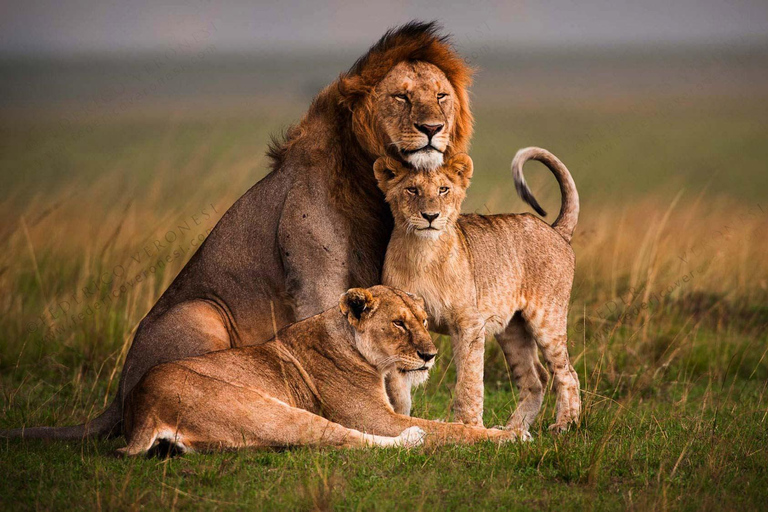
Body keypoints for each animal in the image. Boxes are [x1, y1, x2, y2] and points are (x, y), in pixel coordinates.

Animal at [3, 22, 474, 440]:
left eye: (440, 96)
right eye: (401, 97)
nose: (432, 129)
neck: (370, 181)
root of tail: (118, 397)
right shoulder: (316, 281)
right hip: (200, 312)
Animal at [120, 286, 512, 454]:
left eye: (424, 321)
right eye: (399, 323)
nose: (430, 355)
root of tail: (142, 407)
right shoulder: (374, 418)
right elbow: (450, 429)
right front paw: (507, 435)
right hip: (265, 409)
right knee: (342, 438)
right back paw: (413, 438)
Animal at [376, 148, 580, 436]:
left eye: (443, 189)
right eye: (412, 190)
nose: (430, 216)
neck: (422, 253)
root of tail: (554, 230)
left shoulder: (469, 324)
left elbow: (469, 381)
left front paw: (469, 426)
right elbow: (397, 386)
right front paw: (400, 421)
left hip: (547, 319)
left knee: (567, 373)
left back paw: (564, 424)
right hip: (512, 330)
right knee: (536, 379)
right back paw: (513, 430)